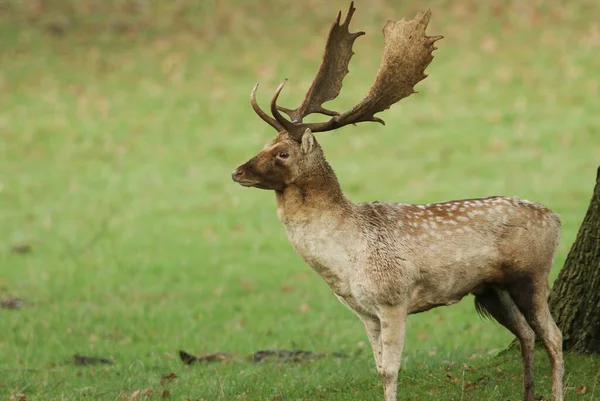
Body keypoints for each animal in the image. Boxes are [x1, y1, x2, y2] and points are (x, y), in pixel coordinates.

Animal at [231, 3, 564, 400]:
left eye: (282, 153)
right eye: (264, 144)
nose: (236, 171)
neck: (344, 257)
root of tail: (557, 219)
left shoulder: (393, 298)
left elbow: (391, 370)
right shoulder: (364, 311)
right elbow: (378, 368)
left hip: (531, 274)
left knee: (554, 336)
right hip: (492, 289)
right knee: (527, 334)